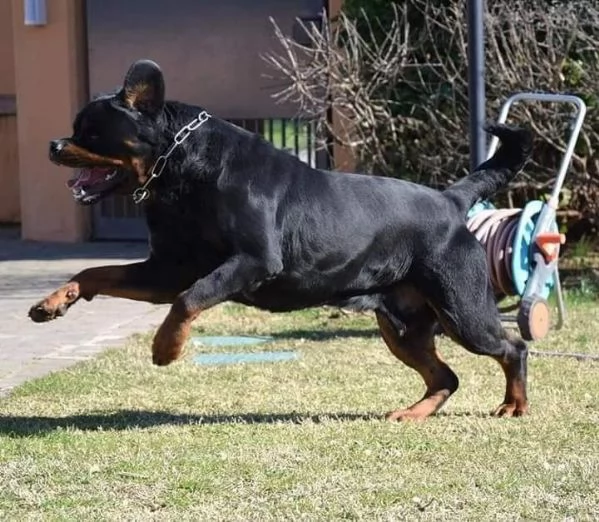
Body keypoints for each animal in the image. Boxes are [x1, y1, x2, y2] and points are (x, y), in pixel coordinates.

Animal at [30, 60, 532, 418]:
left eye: (91, 132)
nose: (53, 145)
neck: (181, 172)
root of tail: (449, 200)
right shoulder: (166, 270)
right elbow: (97, 272)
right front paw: (54, 301)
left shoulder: (252, 260)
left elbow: (192, 298)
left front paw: (166, 348)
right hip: (403, 326)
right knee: (445, 377)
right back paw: (414, 413)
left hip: (461, 309)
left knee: (512, 347)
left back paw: (514, 405)